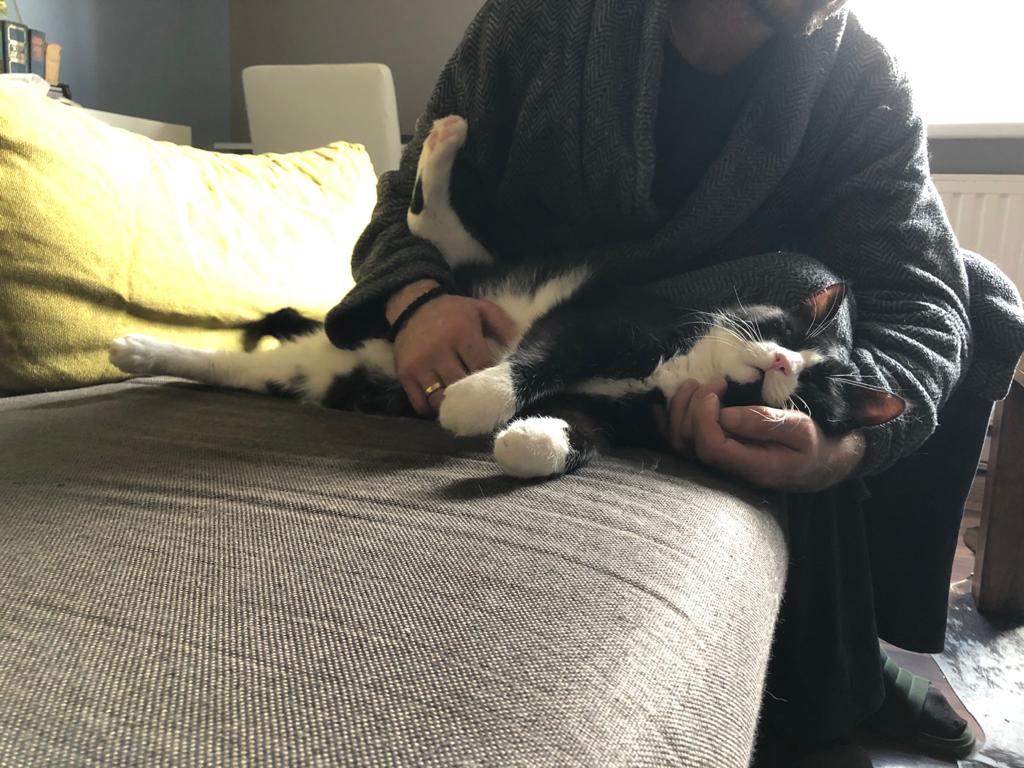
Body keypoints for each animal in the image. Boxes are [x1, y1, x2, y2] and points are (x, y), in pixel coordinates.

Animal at [110, 115, 906, 479]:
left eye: (817, 399)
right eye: (792, 337)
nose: (781, 363)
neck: (680, 370)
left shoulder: (630, 415)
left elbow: (582, 433)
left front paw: (526, 442)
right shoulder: (598, 320)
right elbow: (535, 359)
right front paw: (472, 402)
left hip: (313, 373)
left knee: (224, 366)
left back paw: (139, 350)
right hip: (488, 281)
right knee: (430, 228)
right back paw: (444, 141)